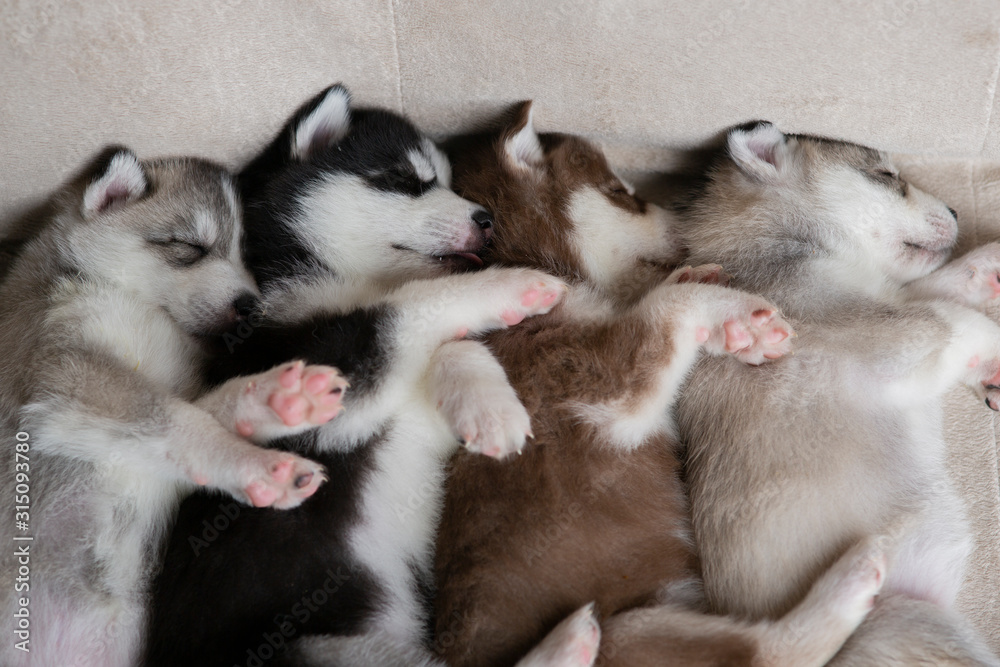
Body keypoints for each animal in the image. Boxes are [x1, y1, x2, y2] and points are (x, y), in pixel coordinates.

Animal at [434, 104, 888, 667]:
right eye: (620, 192)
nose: (685, 212)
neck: (534, 260)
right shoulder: (601, 383)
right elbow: (664, 309)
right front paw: (736, 313)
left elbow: (668, 298)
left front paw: (730, 322)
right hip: (628, 628)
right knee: (769, 648)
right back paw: (853, 578)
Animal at [680, 122, 1000, 664]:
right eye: (886, 175)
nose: (958, 212)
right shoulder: (897, 336)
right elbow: (956, 317)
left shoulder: (889, 300)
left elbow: (937, 286)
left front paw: (986, 270)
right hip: (900, 619)